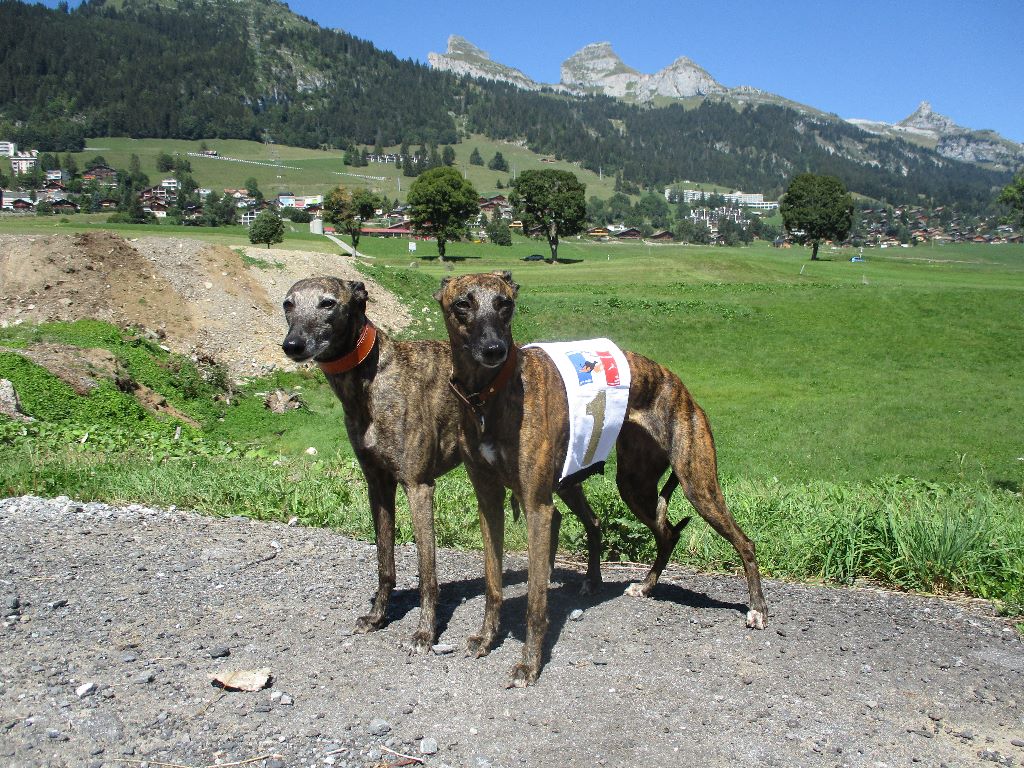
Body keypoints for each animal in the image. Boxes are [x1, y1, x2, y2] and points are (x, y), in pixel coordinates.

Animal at [280, 276, 602, 655]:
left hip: (562, 474)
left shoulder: (418, 486)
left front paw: (425, 632)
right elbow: (384, 563)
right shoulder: (378, 484)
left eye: (328, 302)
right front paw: (377, 616)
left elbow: (427, 572)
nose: (293, 345)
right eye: (288, 304)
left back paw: (589, 580)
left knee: (591, 520)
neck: (372, 378)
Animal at [434, 272, 770, 692]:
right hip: (626, 485)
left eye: (505, 304)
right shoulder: (489, 501)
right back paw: (641, 585)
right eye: (462, 304)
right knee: (654, 532)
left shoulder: (536, 506)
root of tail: (679, 386)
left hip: (697, 483)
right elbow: (493, 583)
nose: (494, 349)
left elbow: (535, 602)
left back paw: (757, 609)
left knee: (743, 542)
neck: (489, 396)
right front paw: (486, 637)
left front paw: (529, 664)